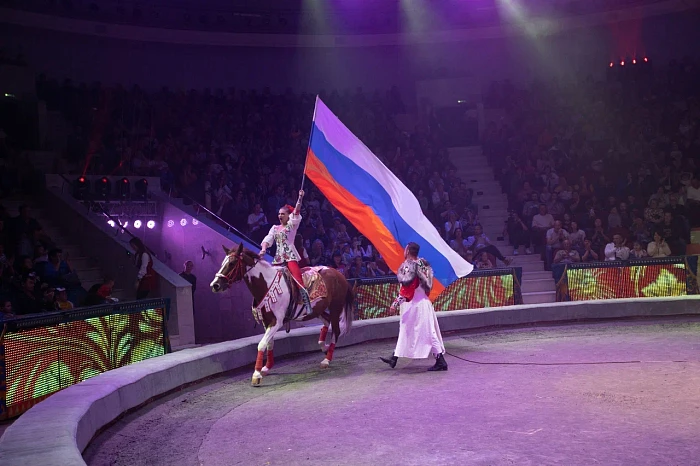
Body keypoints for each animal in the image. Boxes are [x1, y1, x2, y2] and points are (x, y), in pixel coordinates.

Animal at [209, 244, 356, 386]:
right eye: (223, 262)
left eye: (232, 263)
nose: (215, 285)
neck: (266, 284)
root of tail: (338, 273)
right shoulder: (267, 322)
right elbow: (269, 343)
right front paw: (266, 368)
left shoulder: (276, 322)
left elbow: (262, 344)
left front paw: (256, 375)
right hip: (316, 309)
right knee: (327, 321)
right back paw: (323, 347)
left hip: (335, 307)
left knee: (336, 331)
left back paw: (327, 359)